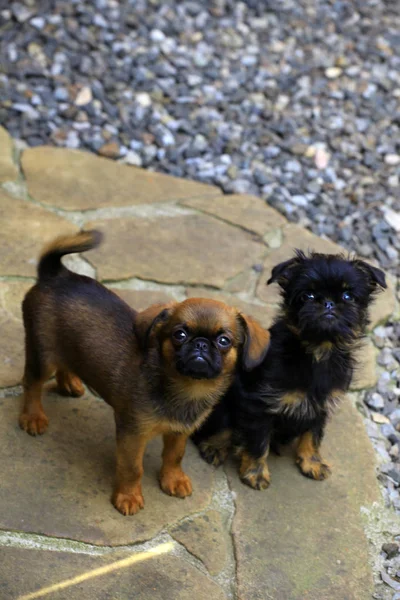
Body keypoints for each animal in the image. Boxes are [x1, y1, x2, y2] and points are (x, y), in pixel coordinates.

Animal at [18, 230, 268, 516]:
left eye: (224, 341)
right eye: (179, 335)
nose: (201, 344)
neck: (186, 388)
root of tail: (57, 275)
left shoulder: (180, 432)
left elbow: (174, 456)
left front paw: (173, 479)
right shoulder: (132, 434)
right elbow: (132, 468)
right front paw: (128, 497)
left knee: (65, 363)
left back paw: (68, 383)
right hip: (42, 354)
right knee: (31, 383)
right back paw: (32, 417)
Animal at [192, 251, 386, 490]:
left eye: (348, 296)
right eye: (307, 296)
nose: (329, 303)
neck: (317, 352)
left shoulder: (320, 407)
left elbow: (313, 435)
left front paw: (312, 462)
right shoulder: (260, 405)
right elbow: (258, 442)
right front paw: (255, 472)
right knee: (220, 427)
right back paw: (215, 446)